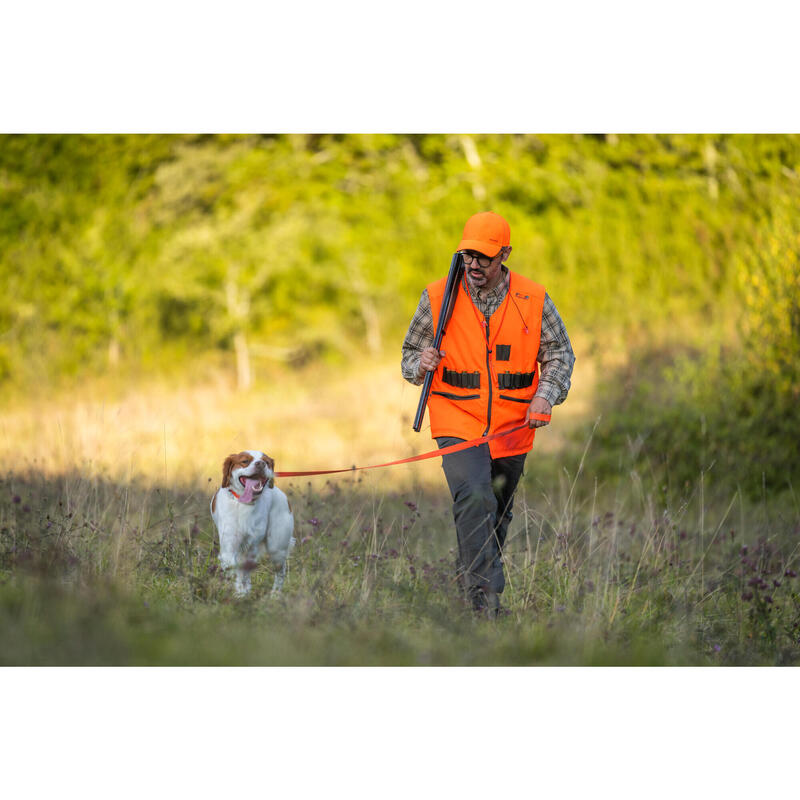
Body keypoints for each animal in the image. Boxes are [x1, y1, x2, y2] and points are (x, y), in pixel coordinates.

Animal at [211, 446, 296, 596]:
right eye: (245, 461)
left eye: (266, 462)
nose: (261, 464)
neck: (244, 504)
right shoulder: (229, 546)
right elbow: (234, 570)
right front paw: (239, 592)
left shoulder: (251, 546)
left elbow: (243, 572)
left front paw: (242, 593)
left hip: (277, 547)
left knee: (280, 572)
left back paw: (275, 595)